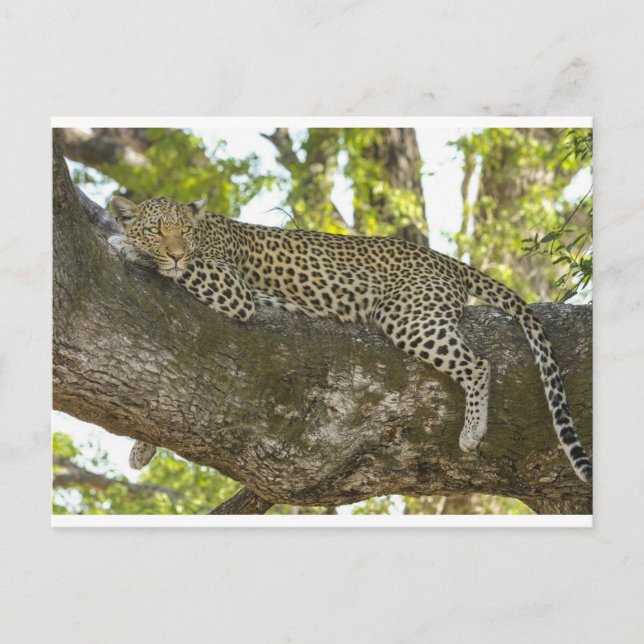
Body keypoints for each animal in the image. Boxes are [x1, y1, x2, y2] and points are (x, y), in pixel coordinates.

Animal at [108, 195, 592, 483]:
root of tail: (442, 259)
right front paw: (142, 448)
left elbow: (186, 268)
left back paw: (473, 431)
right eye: (157, 229)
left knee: (478, 364)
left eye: (182, 232)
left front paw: (123, 244)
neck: (205, 231)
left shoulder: (232, 288)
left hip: (408, 316)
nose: (174, 251)